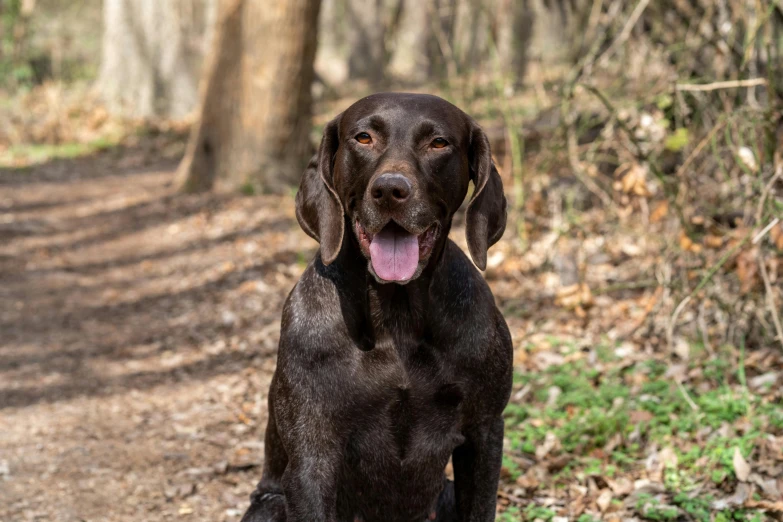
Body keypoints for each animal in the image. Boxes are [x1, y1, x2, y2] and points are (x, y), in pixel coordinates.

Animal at [243, 93, 516, 520]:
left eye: (438, 143)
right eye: (364, 138)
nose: (389, 190)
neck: (396, 315)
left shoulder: (484, 433)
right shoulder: (311, 458)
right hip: (269, 506)